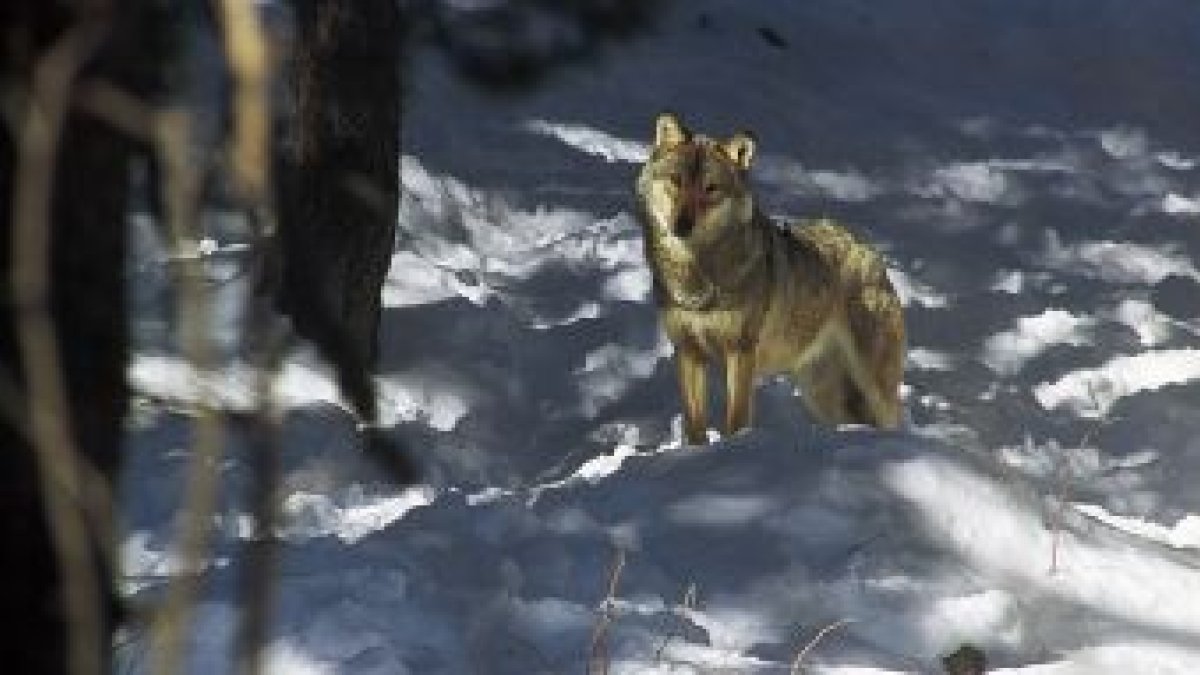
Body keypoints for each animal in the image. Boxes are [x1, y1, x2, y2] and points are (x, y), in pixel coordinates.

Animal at [638, 112, 902, 444]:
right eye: (676, 180)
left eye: (711, 188)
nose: (682, 225)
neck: (698, 276)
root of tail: (867, 249)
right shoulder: (688, 352)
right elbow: (694, 426)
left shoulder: (740, 351)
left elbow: (736, 419)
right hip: (822, 394)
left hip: (874, 389)